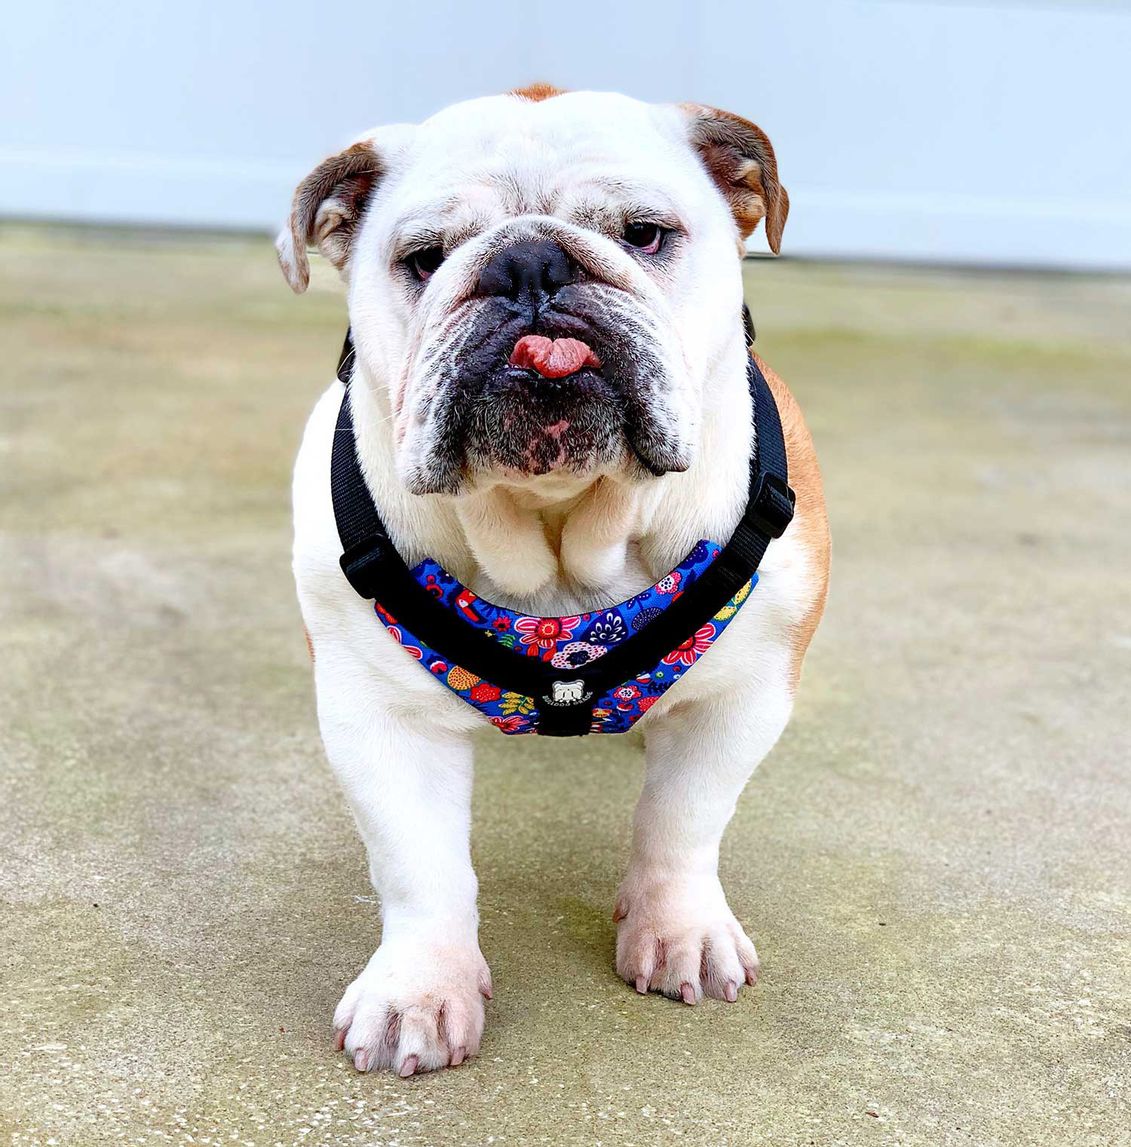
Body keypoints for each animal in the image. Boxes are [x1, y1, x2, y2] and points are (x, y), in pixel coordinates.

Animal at [279, 85, 829, 1076]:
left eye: (645, 234)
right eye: (423, 259)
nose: (529, 264)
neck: (562, 524)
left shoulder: (741, 698)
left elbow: (683, 820)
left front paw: (678, 929)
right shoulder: (377, 718)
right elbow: (418, 862)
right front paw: (420, 989)